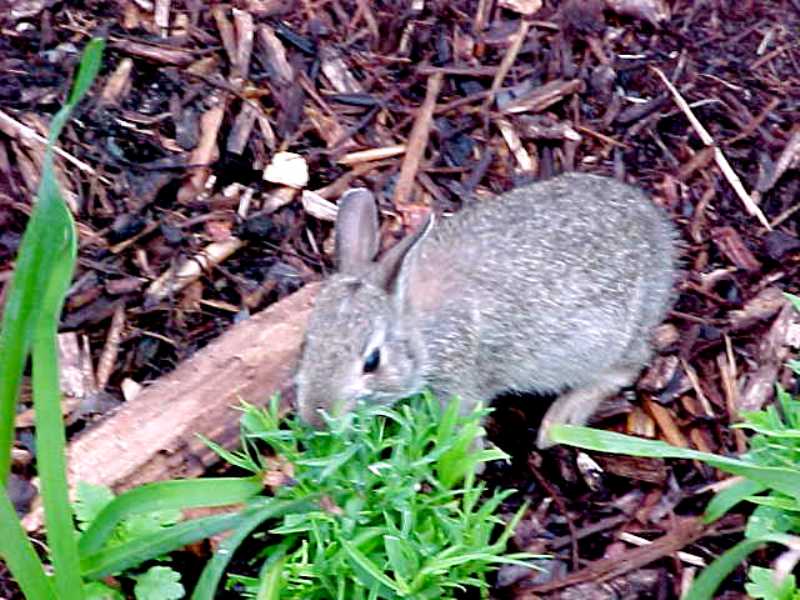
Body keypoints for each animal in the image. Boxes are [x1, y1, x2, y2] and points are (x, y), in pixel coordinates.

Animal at [294, 171, 676, 448]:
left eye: (372, 362)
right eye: (308, 343)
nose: (316, 419)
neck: (419, 327)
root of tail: (662, 239)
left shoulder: (460, 385)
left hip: (602, 342)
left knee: (626, 367)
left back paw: (560, 421)